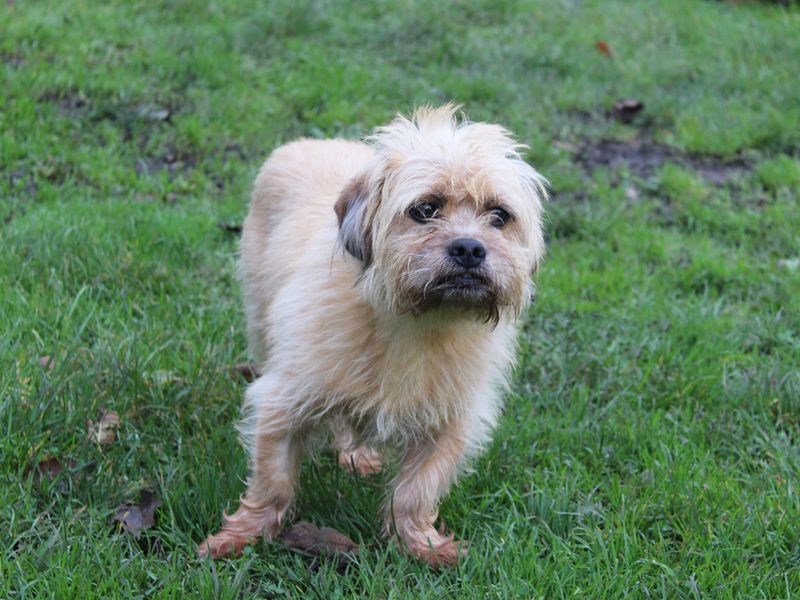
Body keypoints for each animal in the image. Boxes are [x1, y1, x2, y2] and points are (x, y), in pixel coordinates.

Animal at [202, 104, 552, 568]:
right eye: (425, 209)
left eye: (499, 215)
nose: (469, 248)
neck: (415, 321)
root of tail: (310, 142)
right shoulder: (282, 402)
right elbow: (272, 483)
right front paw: (240, 537)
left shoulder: (448, 426)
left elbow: (415, 493)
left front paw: (420, 546)